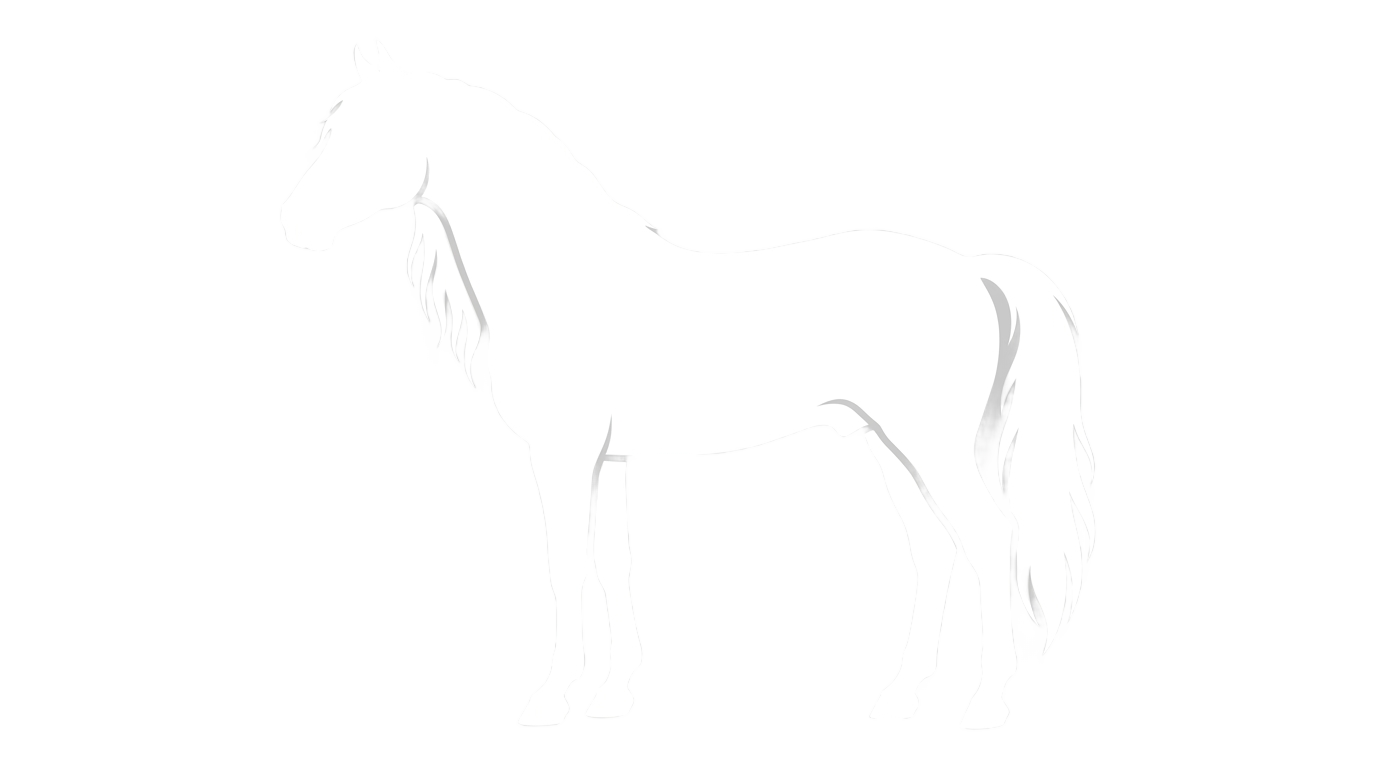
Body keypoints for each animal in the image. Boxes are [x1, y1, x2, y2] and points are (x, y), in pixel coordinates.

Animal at [280, 43, 1095, 732]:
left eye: (372, 139)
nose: (292, 223)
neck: (562, 276)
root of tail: (970, 271)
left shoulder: (563, 457)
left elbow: (565, 566)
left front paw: (549, 701)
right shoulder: (604, 462)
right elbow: (612, 566)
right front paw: (611, 697)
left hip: (930, 449)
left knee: (988, 542)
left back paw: (985, 708)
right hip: (891, 448)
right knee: (936, 552)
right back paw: (897, 701)